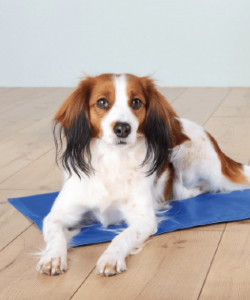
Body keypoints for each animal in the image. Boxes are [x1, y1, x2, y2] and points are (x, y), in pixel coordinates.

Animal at [36, 74, 249, 276]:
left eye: (136, 102)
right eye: (102, 102)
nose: (122, 128)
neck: (112, 161)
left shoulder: (143, 219)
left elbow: (122, 236)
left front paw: (111, 257)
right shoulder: (58, 214)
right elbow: (55, 235)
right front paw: (52, 257)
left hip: (190, 159)